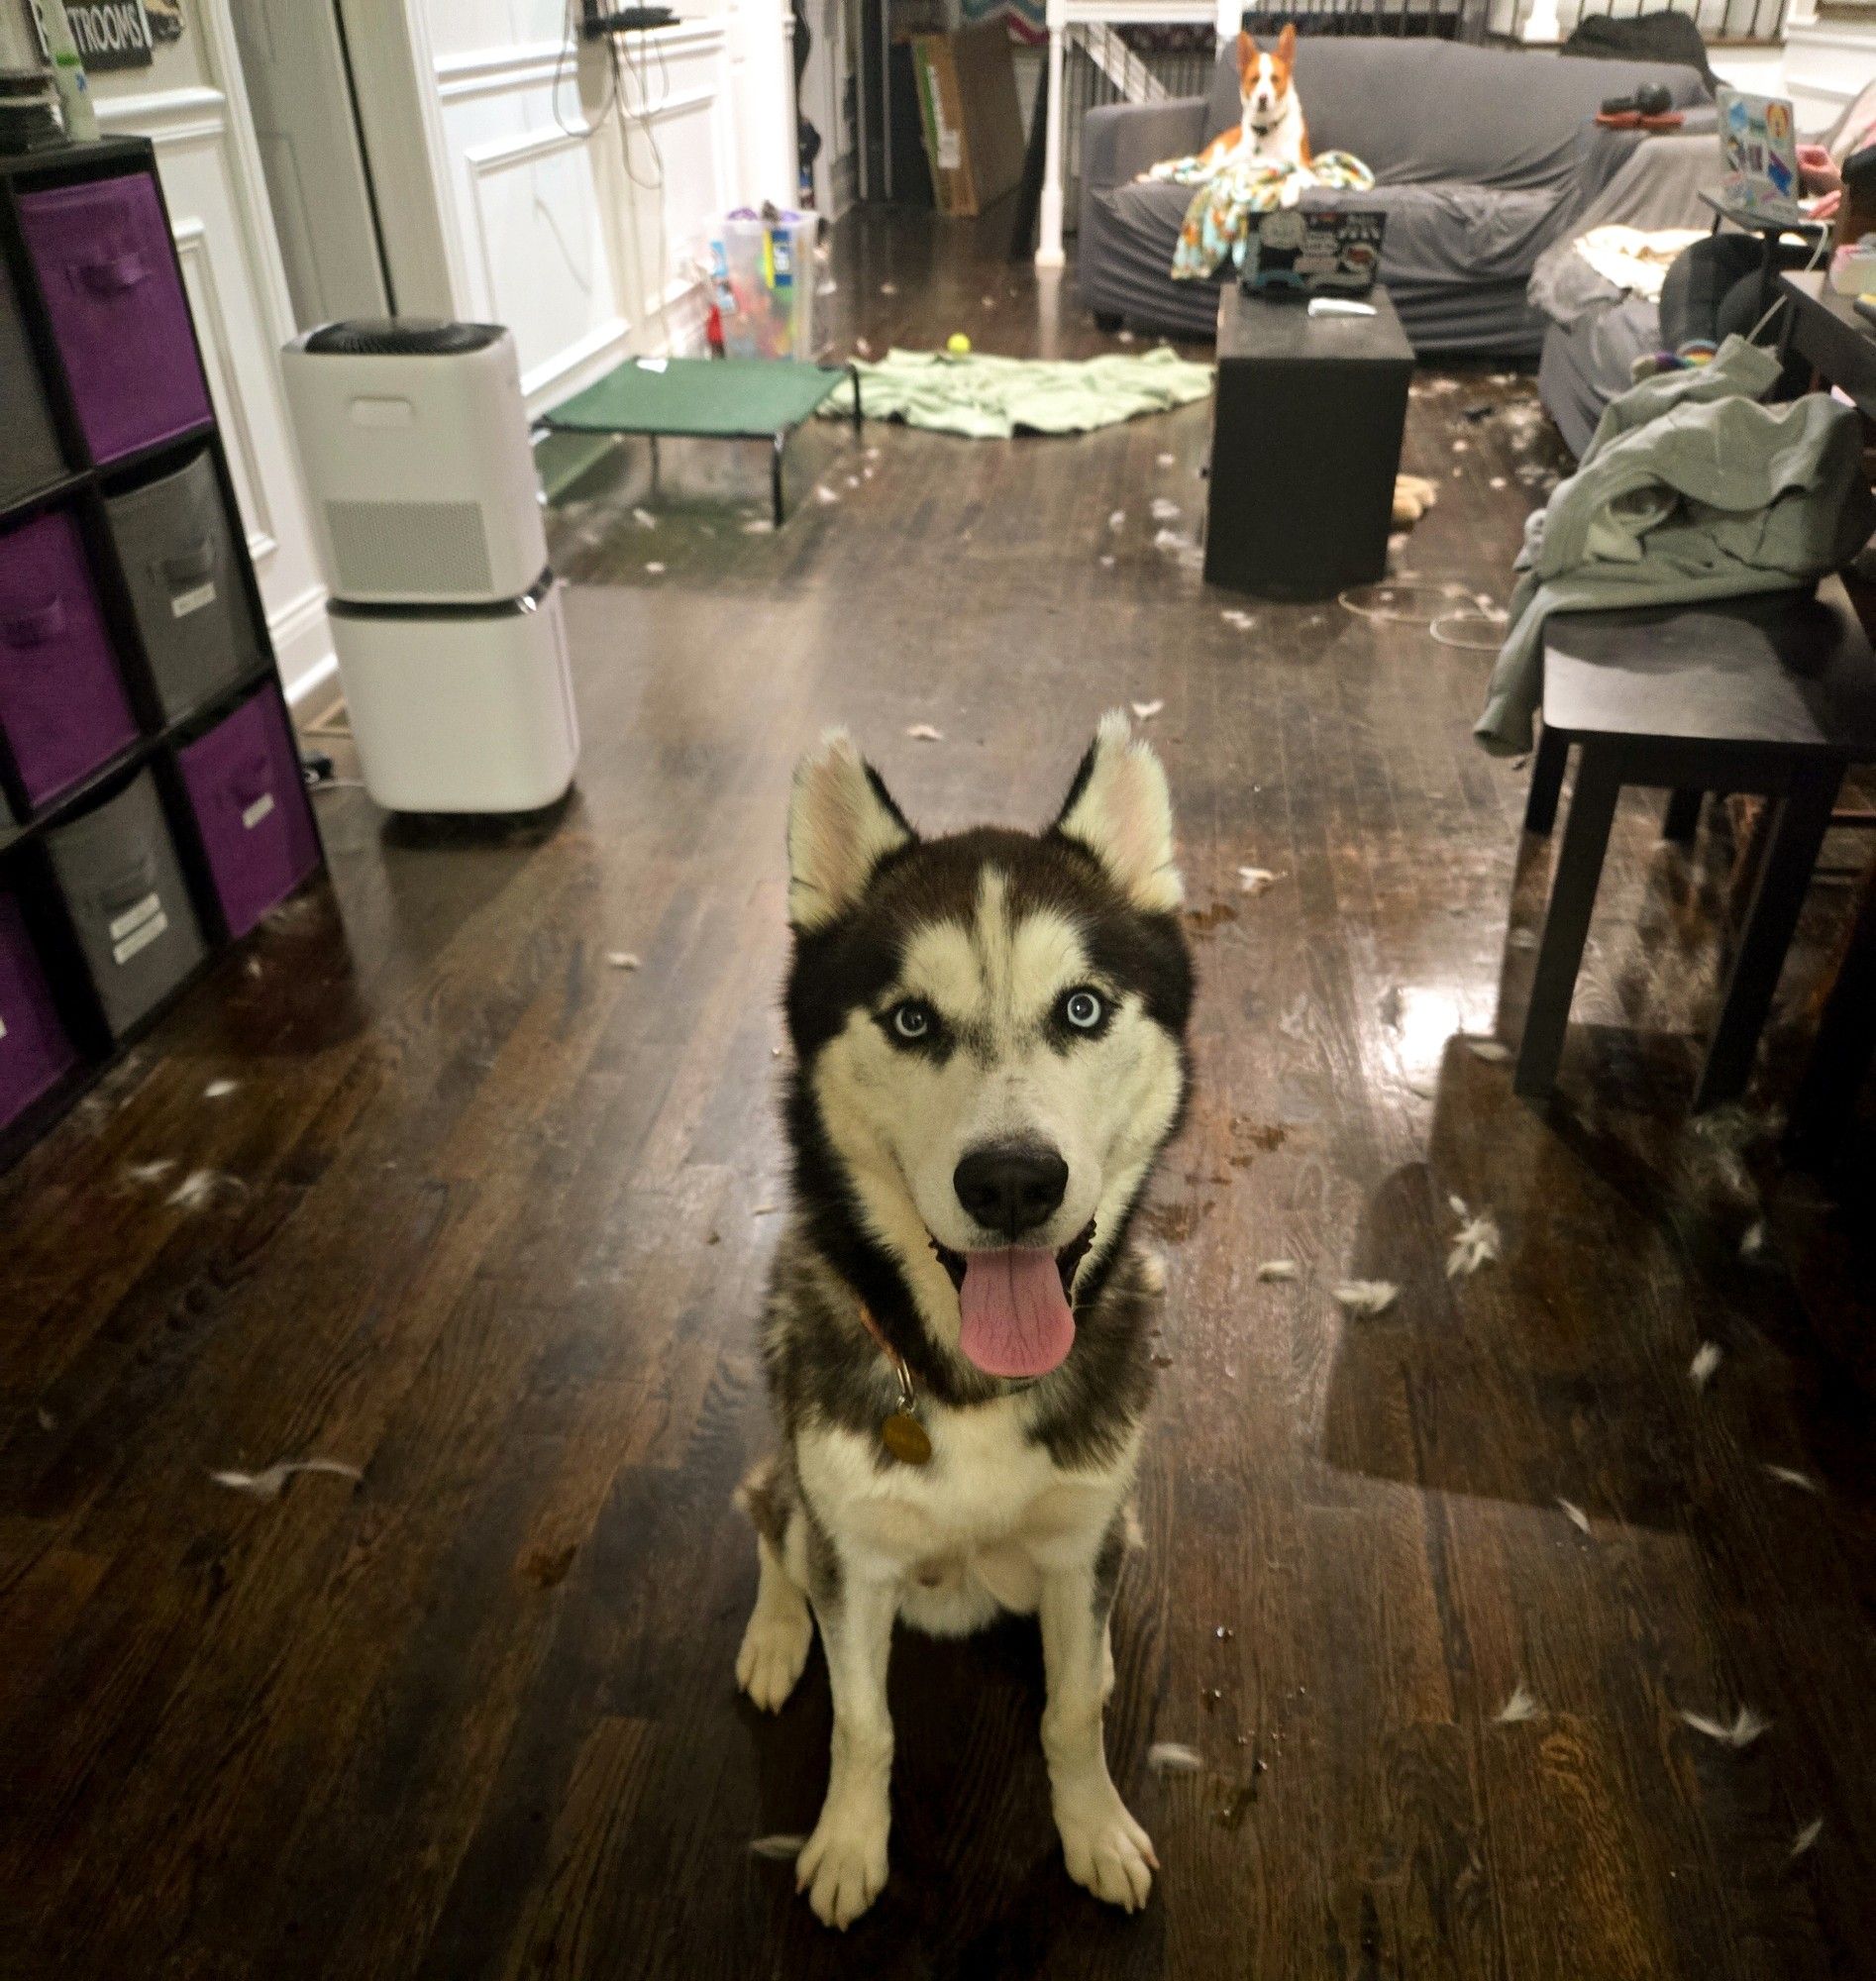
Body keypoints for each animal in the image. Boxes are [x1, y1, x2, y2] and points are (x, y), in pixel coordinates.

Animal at [741, 717, 1197, 1933]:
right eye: (911, 1019)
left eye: (1082, 1008)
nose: (1011, 1182)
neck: (971, 1384)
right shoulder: (853, 1552)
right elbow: (863, 1723)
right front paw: (848, 1844)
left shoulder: (1082, 1537)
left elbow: (1071, 1712)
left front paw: (1092, 1827)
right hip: (793, 1475)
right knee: (766, 1516)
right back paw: (773, 1633)